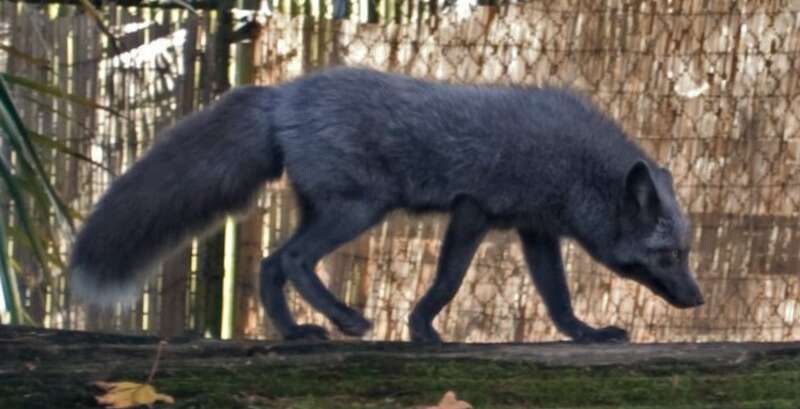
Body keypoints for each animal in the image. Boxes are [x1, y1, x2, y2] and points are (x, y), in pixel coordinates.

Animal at [69, 67, 704, 343]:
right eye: (669, 255)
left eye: (685, 252)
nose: (698, 299)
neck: (574, 168)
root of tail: (283, 94)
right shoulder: (474, 209)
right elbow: (448, 281)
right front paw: (423, 330)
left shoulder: (534, 229)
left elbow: (558, 298)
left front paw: (586, 334)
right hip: (358, 210)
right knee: (291, 260)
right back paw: (344, 320)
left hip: (325, 210)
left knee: (269, 266)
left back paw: (297, 334)